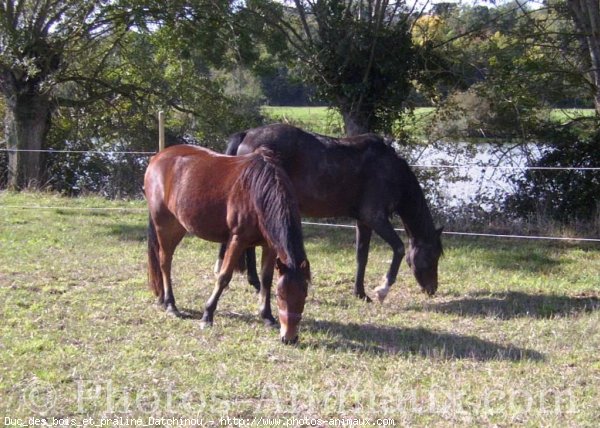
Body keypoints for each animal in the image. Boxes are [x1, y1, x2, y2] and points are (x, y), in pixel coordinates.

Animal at [146, 145, 312, 344]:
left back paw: (163, 300)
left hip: (178, 226)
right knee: (165, 262)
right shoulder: (237, 240)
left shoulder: (270, 246)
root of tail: (157, 157)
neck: (257, 191)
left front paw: (267, 317)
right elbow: (224, 277)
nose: (289, 338)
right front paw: (207, 315)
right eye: (280, 295)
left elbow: (266, 279)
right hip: (165, 225)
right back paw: (171, 305)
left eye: (304, 294)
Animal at [218, 122, 442, 302]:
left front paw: (360, 293)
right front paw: (382, 290)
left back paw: (255, 283)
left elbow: (362, 256)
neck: (390, 170)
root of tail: (247, 134)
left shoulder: (364, 222)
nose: (433, 289)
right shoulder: (376, 218)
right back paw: (256, 283)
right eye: (433, 255)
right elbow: (399, 248)